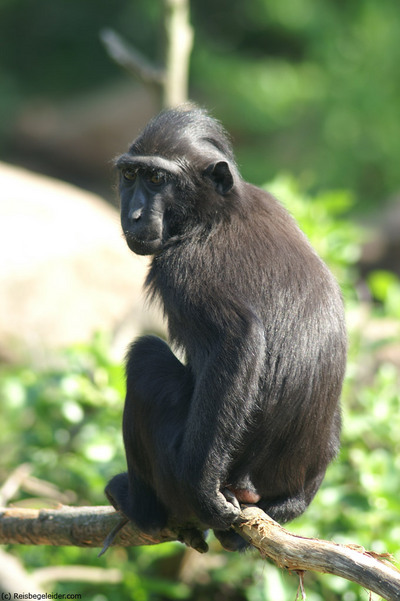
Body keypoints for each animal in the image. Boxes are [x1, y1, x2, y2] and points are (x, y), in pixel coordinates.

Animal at [106, 106, 346, 548]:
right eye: (130, 175)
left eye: (157, 179)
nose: (132, 215)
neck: (216, 210)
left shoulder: (183, 268)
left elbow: (237, 341)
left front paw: (202, 492)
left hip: (175, 469)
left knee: (146, 359)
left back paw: (142, 507)